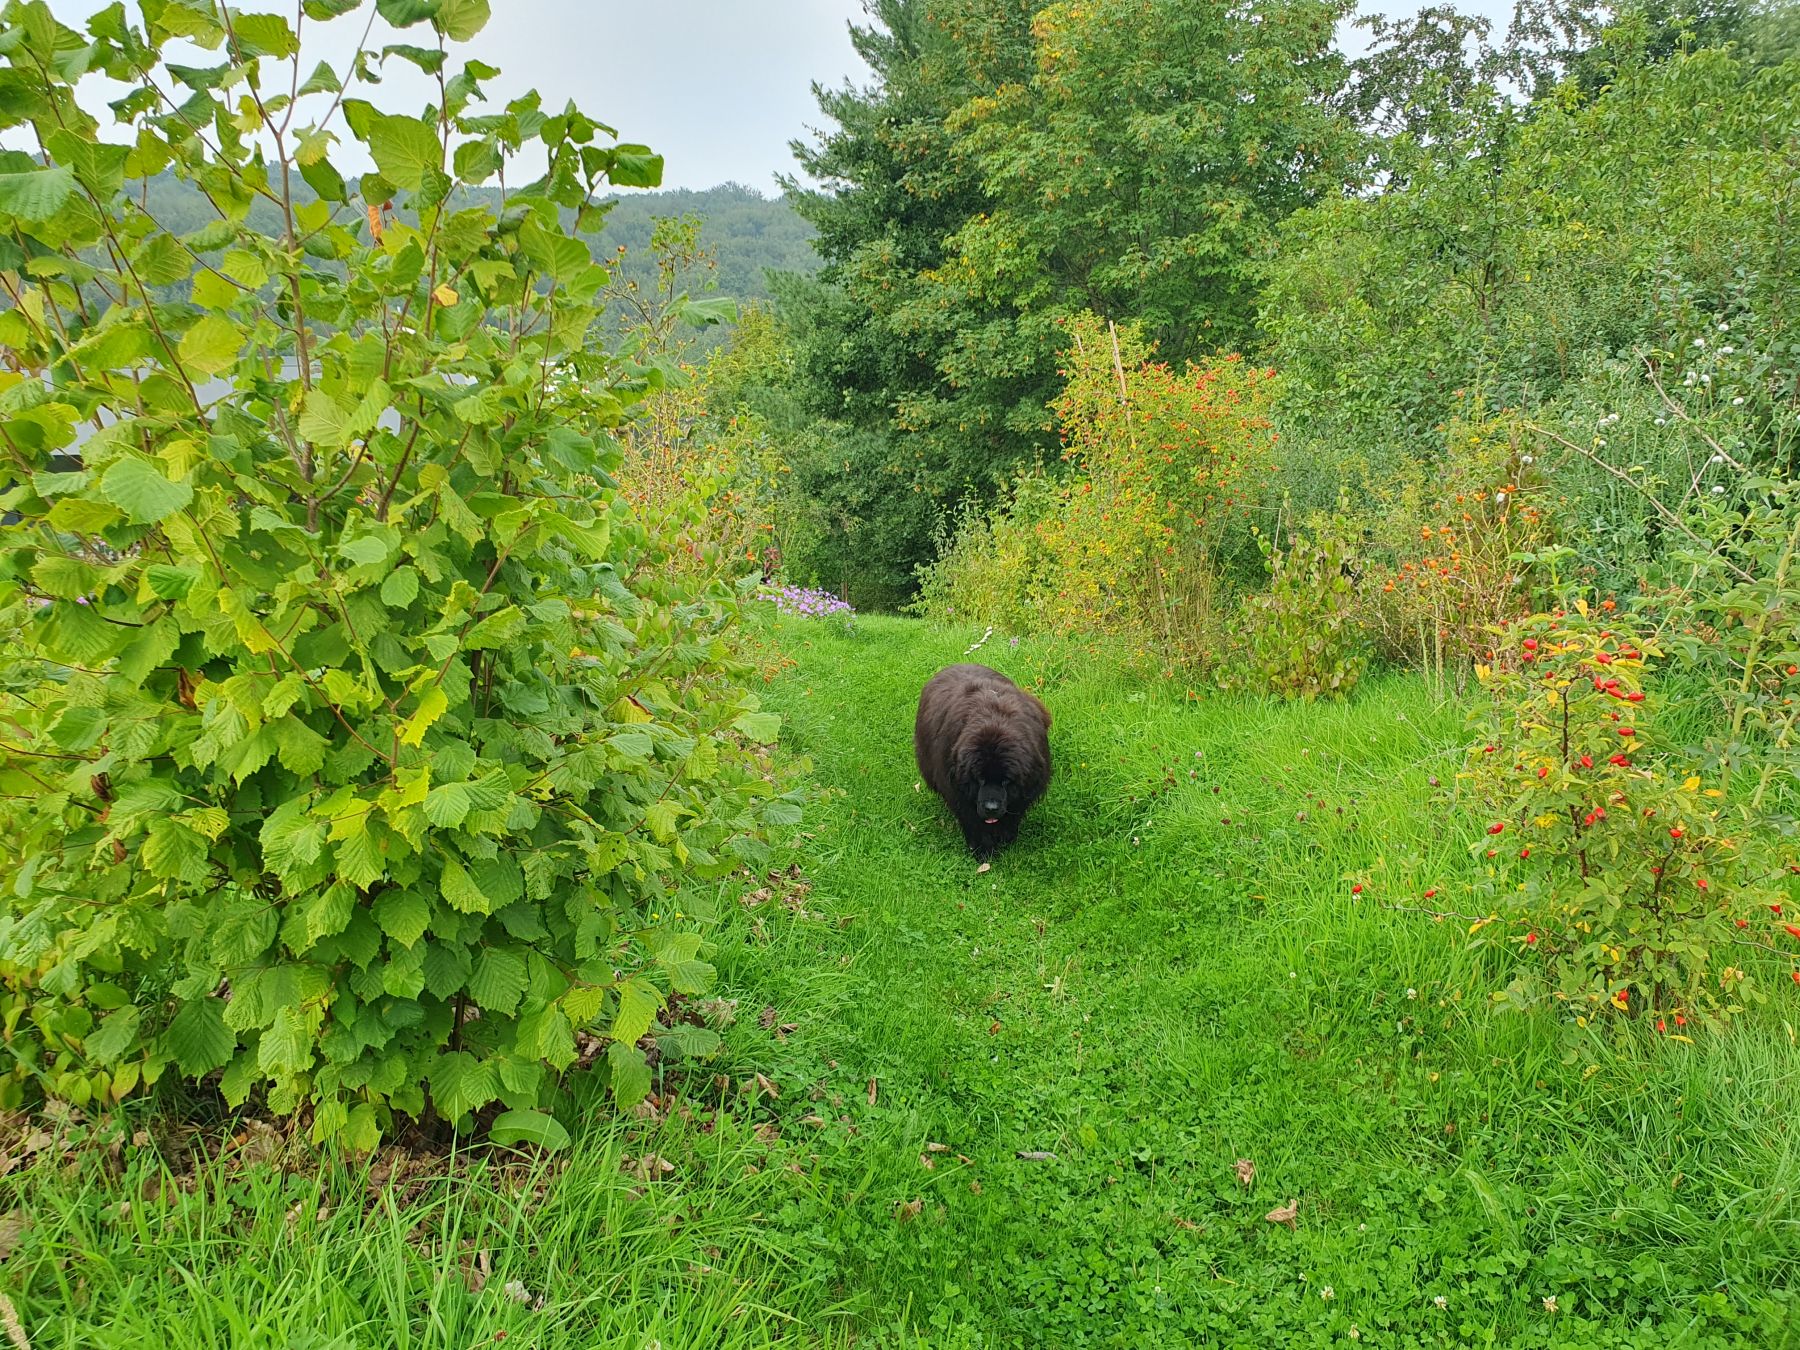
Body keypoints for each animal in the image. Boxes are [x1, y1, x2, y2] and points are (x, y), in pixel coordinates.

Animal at [914, 669, 1051, 867]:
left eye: (1006, 781)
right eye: (979, 779)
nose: (991, 807)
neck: (994, 720)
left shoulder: (1026, 789)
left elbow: (1012, 815)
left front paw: (1006, 839)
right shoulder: (960, 793)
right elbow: (974, 823)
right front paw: (983, 852)